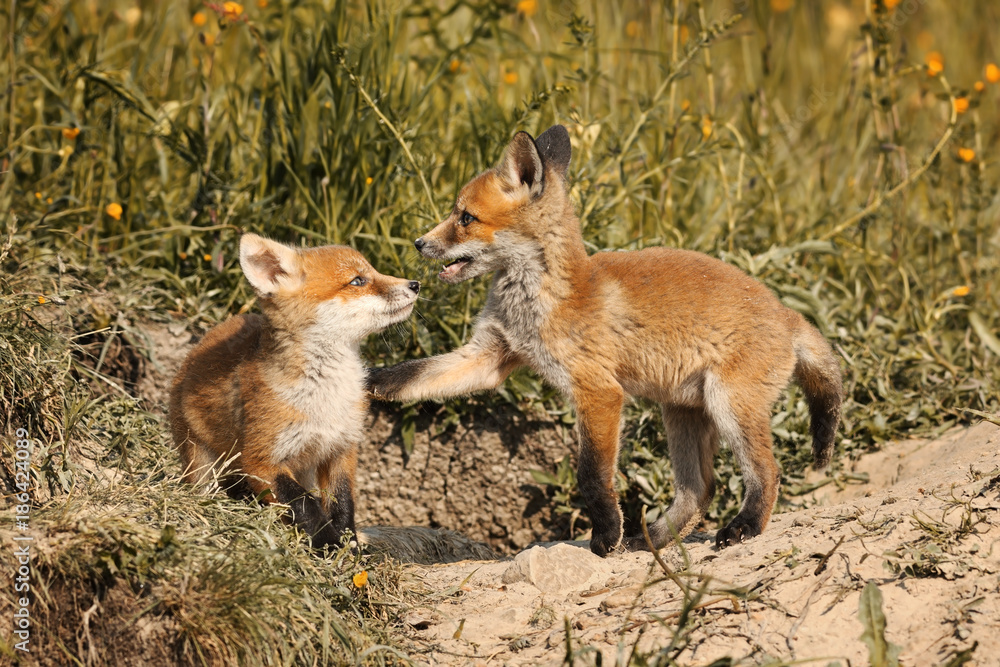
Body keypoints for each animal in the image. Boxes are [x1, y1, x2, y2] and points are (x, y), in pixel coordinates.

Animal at [169, 233, 420, 549]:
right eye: (357, 281)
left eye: (372, 272)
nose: (416, 284)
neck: (326, 399)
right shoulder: (261, 459)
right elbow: (305, 505)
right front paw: (330, 546)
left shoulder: (341, 448)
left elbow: (342, 502)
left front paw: (349, 543)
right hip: (203, 464)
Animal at [368, 125, 843, 557]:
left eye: (465, 218)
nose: (419, 243)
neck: (539, 301)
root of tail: (786, 313)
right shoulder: (489, 355)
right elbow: (412, 375)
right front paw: (369, 381)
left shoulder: (598, 391)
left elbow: (592, 476)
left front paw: (606, 536)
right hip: (682, 413)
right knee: (699, 489)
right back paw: (652, 540)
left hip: (729, 405)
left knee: (767, 472)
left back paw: (743, 526)